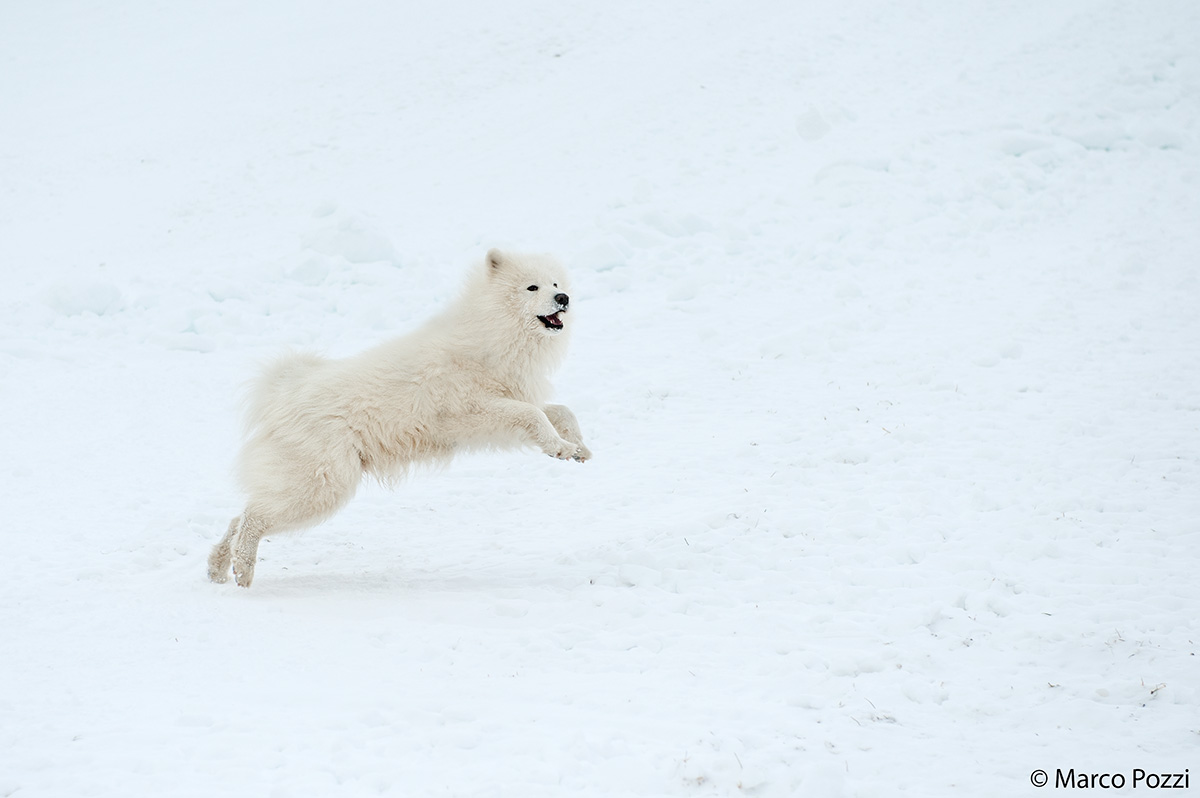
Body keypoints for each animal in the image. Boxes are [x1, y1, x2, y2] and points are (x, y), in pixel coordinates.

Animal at [207, 249, 590, 585]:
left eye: (555, 283)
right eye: (532, 287)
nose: (564, 298)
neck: (493, 334)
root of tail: (283, 393)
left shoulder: (506, 408)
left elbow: (560, 411)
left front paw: (577, 447)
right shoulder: (476, 411)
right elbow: (534, 416)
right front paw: (558, 448)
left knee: (241, 515)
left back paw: (219, 567)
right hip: (322, 486)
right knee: (254, 517)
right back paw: (243, 570)